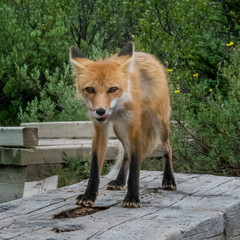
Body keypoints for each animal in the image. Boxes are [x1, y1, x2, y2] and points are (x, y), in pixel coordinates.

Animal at [69, 42, 176, 207]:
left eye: (113, 89)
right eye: (90, 89)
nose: (100, 111)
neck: (118, 107)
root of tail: (149, 56)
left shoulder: (134, 127)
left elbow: (135, 165)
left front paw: (132, 197)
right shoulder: (100, 129)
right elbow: (95, 165)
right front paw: (89, 195)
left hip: (160, 123)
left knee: (167, 148)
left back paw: (169, 179)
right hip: (118, 128)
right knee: (126, 152)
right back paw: (119, 180)